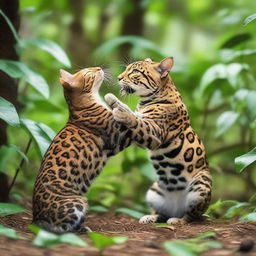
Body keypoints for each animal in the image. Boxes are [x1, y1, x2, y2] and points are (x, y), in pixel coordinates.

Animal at [32, 66, 159, 234]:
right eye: (88, 72)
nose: (98, 68)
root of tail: (35, 217)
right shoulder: (118, 136)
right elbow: (137, 125)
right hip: (78, 201)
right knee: (59, 228)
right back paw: (81, 229)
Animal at [105, 57, 211, 224]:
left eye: (135, 72)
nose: (118, 78)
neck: (146, 100)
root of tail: (176, 208)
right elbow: (132, 112)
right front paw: (112, 100)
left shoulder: (154, 133)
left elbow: (137, 122)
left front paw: (121, 114)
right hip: (154, 190)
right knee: (163, 213)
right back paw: (150, 217)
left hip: (202, 183)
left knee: (193, 215)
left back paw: (178, 220)